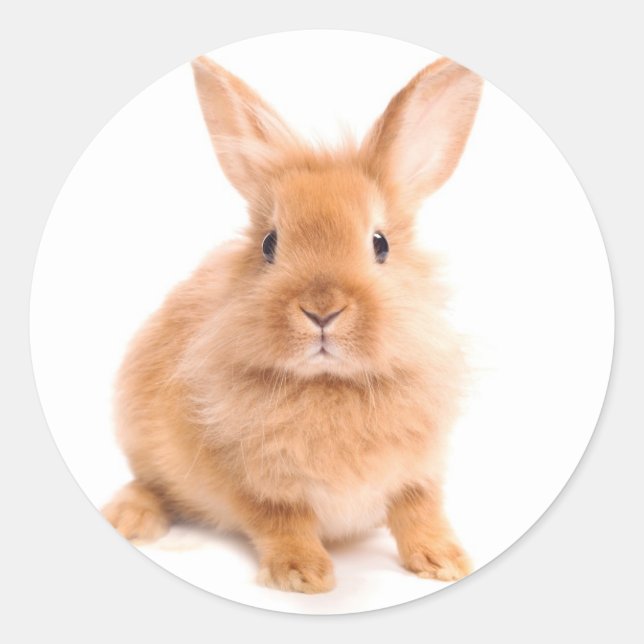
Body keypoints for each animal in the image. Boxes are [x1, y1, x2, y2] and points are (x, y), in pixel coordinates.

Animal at [102, 54, 483, 594]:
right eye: (269, 244)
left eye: (380, 244)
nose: (321, 310)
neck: (329, 386)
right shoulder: (256, 487)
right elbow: (283, 522)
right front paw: (304, 576)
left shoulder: (417, 473)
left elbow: (420, 512)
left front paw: (444, 562)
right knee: (150, 484)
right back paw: (128, 518)